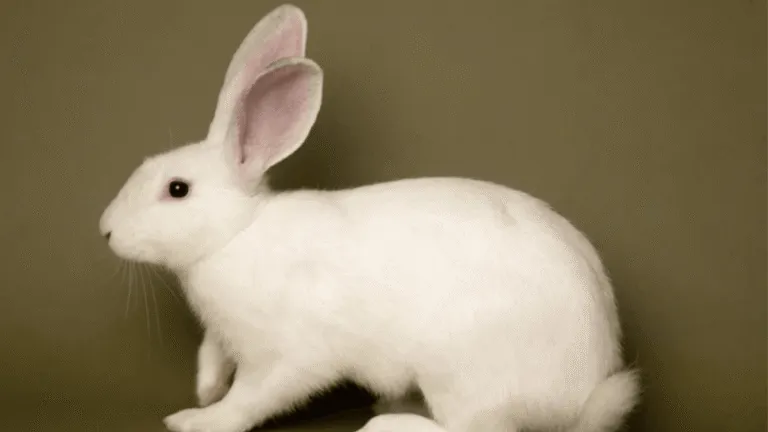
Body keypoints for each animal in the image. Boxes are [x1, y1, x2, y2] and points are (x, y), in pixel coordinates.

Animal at [98, 4, 640, 432]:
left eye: (177, 190)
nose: (105, 231)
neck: (237, 234)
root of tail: (584, 397)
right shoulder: (224, 337)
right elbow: (211, 355)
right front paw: (205, 391)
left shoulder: (285, 356)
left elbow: (251, 398)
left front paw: (199, 419)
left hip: (462, 372)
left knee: (473, 428)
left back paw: (387, 423)